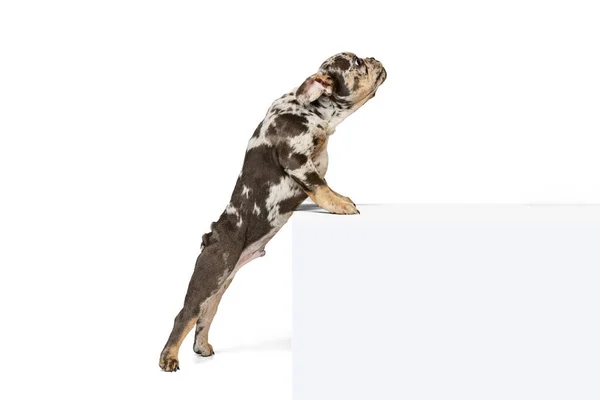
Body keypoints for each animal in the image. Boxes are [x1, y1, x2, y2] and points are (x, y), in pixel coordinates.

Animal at [157, 51, 386, 370]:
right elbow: (320, 185)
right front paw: (341, 205)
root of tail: (211, 236)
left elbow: (322, 182)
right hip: (210, 275)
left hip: (221, 284)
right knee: (186, 313)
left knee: (207, 313)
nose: (374, 57)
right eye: (356, 64)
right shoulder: (296, 160)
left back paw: (201, 347)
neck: (315, 111)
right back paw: (168, 358)